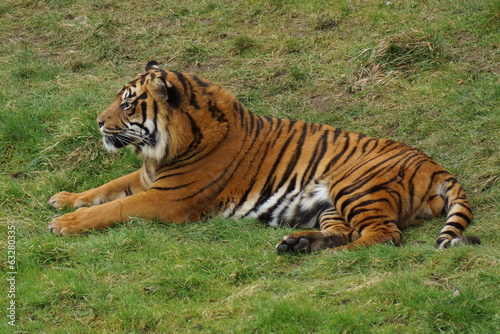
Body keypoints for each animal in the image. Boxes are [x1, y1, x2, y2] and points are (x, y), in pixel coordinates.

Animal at [47, 60, 480, 253]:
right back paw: (297, 244)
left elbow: (113, 208)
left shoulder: (167, 198)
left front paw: (64, 223)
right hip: (331, 205)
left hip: (353, 185)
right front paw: (64, 199)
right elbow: (106, 188)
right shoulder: (148, 178)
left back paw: (328, 256)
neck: (167, 150)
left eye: (128, 104)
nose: (98, 122)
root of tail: (435, 166)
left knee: (384, 236)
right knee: (346, 232)